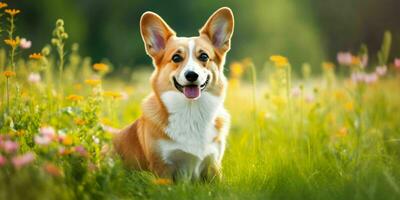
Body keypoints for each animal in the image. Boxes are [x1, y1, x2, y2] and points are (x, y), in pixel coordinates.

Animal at [113, 7, 234, 181]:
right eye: (176, 58)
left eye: (204, 56)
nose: (191, 75)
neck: (191, 111)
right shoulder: (163, 168)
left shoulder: (213, 165)